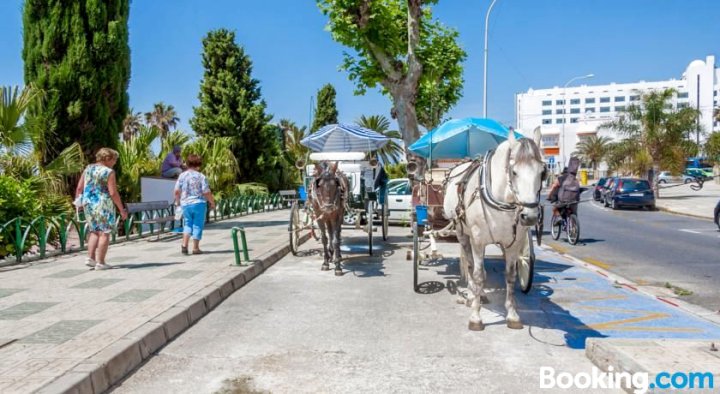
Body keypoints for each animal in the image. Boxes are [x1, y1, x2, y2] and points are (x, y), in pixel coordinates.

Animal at [444, 127, 544, 330]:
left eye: (542, 172)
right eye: (514, 172)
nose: (530, 216)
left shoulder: (514, 244)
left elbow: (511, 276)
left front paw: (512, 314)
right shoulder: (478, 240)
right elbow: (477, 274)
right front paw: (475, 316)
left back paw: (480, 294)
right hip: (462, 232)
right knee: (469, 263)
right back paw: (471, 295)